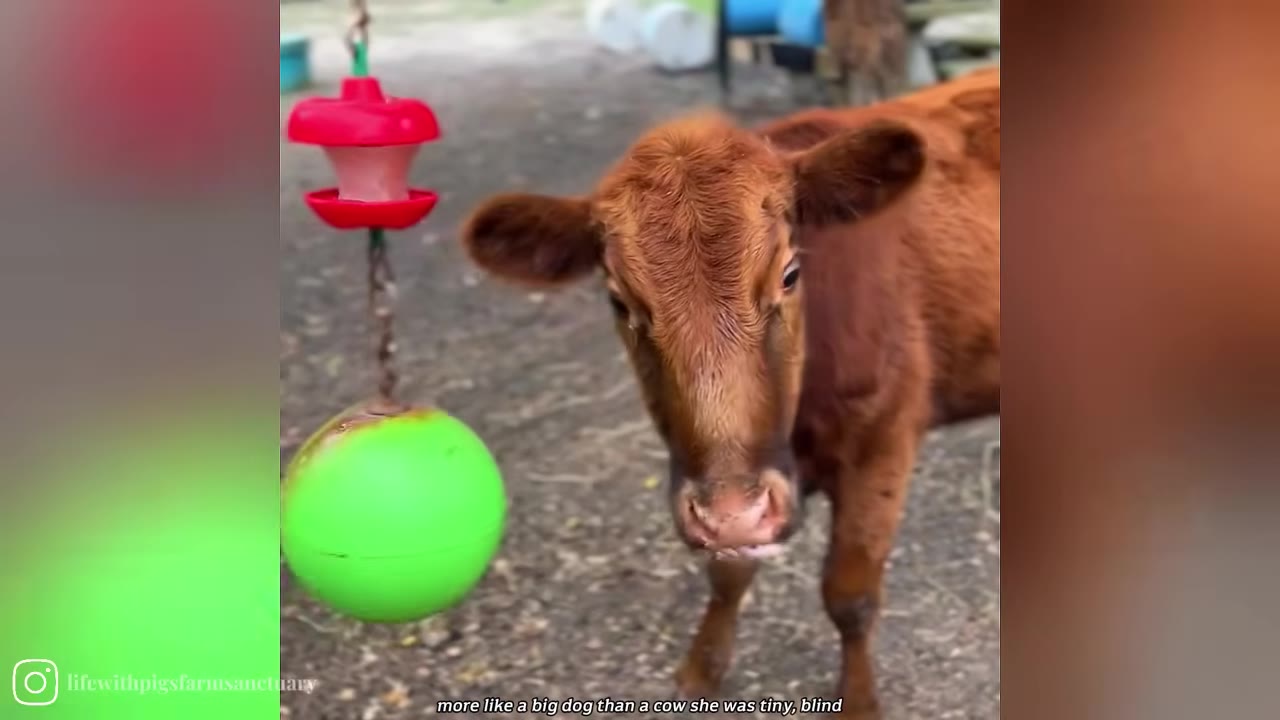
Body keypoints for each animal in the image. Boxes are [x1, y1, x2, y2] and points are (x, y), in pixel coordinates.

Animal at [460, 68, 1000, 718]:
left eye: (790, 274)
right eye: (619, 301)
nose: (735, 513)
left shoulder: (883, 440)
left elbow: (850, 596)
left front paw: (859, 698)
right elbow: (727, 575)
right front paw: (701, 670)